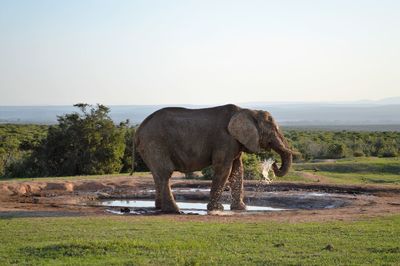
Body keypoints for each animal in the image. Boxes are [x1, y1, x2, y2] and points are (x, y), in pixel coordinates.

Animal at [134, 103, 290, 213]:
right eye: (273, 131)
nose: (274, 164)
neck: (247, 110)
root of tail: (139, 130)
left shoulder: (235, 141)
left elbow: (237, 169)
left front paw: (241, 209)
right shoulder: (225, 139)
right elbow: (224, 169)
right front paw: (217, 209)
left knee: (158, 175)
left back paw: (159, 208)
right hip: (155, 142)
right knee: (165, 173)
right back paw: (174, 211)